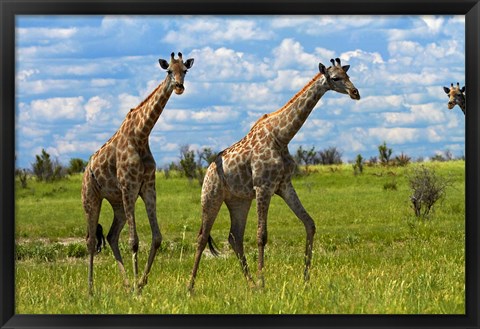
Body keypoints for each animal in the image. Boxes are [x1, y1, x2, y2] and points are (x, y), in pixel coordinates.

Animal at [82, 51, 193, 292]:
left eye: (185, 70)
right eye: (169, 71)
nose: (179, 87)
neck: (141, 134)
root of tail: (85, 170)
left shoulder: (148, 187)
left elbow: (157, 237)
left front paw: (140, 283)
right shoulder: (129, 187)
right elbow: (134, 241)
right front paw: (137, 286)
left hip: (117, 204)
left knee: (111, 236)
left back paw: (124, 283)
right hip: (91, 198)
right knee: (90, 239)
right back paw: (91, 289)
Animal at [188, 57, 360, 290]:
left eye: (347, 75)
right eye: (335, 78)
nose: (355, 92)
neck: (282, 136)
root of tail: (208, 170)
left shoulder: (284, 185)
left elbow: (310, 224)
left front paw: (306, 279)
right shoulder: (263, 187)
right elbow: (262, 235)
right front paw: (264, 282)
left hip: (239, 201)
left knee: (235, 237)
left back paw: (250, 283)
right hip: (211, 196)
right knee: (202, 236)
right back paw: (190, 287)